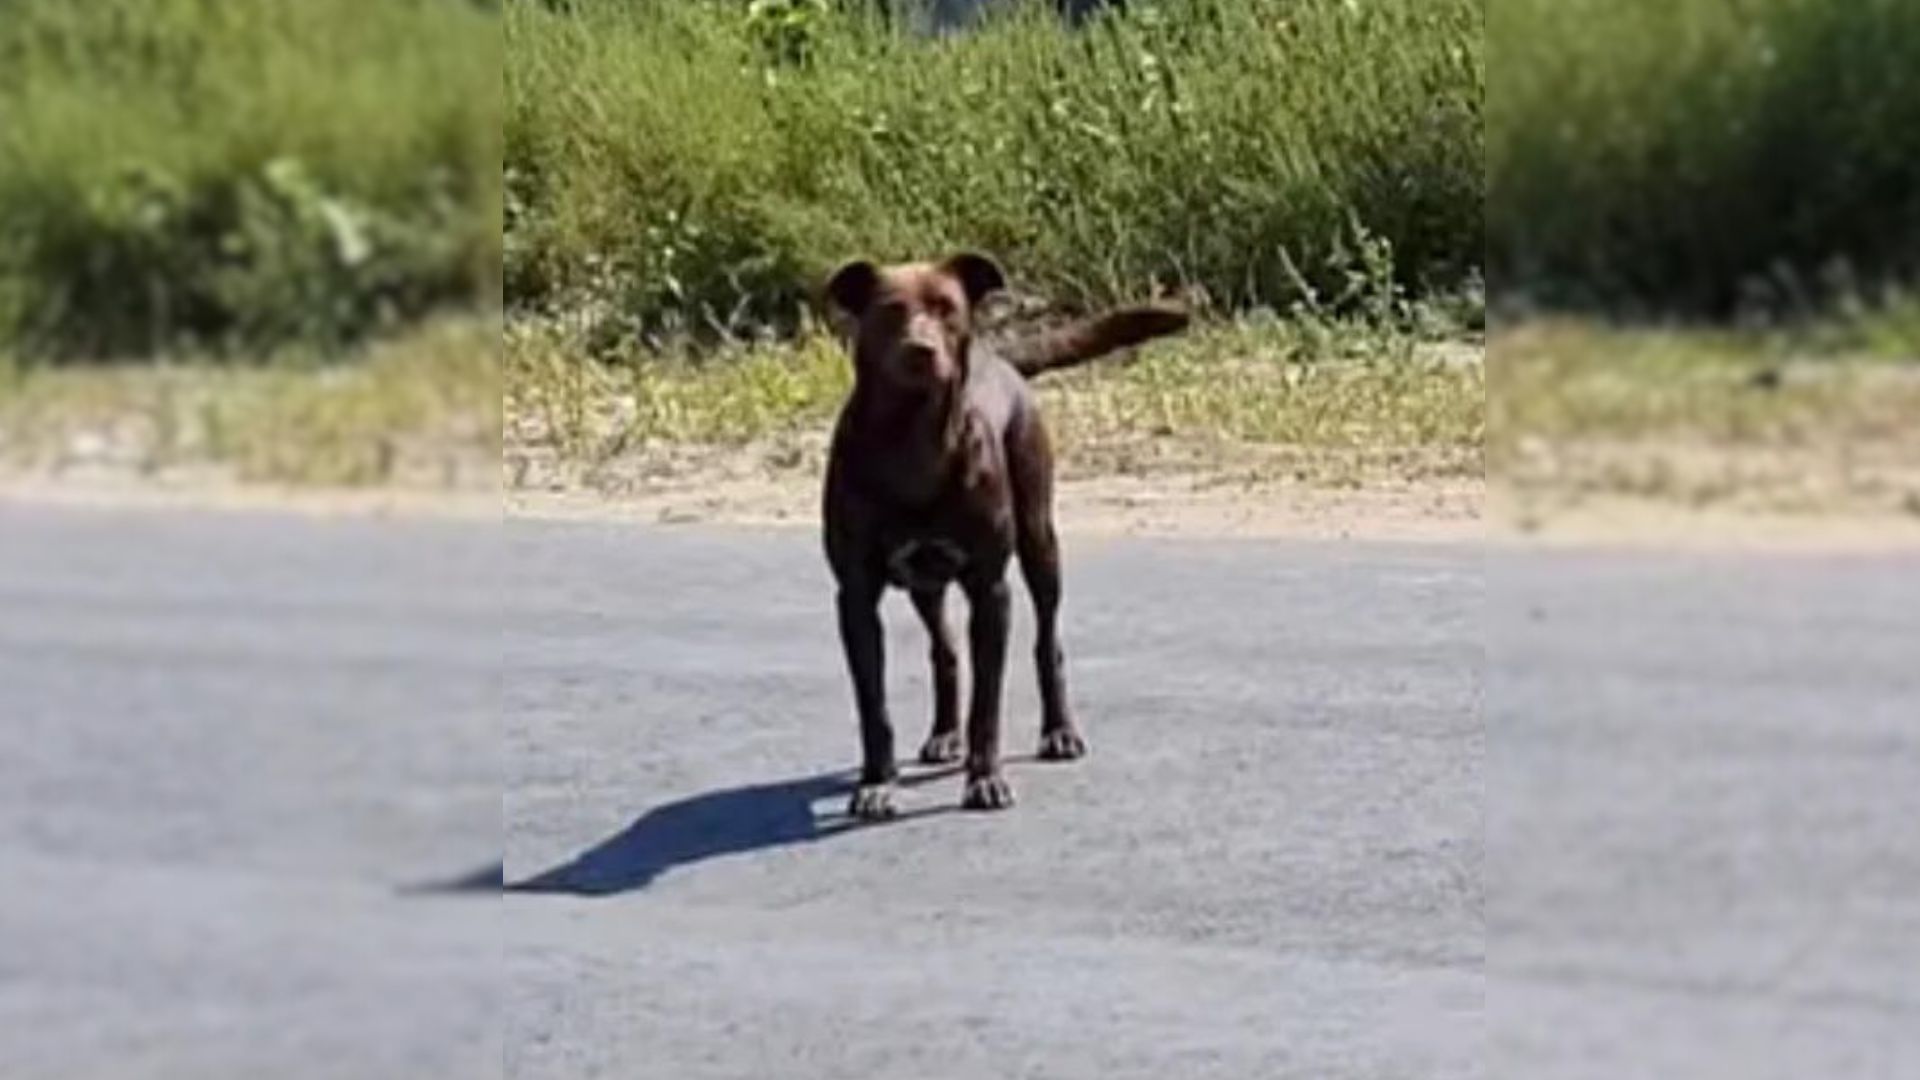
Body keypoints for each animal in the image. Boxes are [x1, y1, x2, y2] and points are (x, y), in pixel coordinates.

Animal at [821, 251, 1182, 814]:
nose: (921, 350)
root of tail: (999, 356)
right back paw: (944, 734)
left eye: (947, 308)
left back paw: (1059, 732)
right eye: (889, 310)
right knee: (945, 651)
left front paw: (984, 779)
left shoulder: (991, 590)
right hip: (925, 581)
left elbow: (986, 706)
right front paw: (877, 783)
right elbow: (873, 705)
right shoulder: (855, 596)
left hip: (1040, 543)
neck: (912, 439)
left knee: (1047, 643)